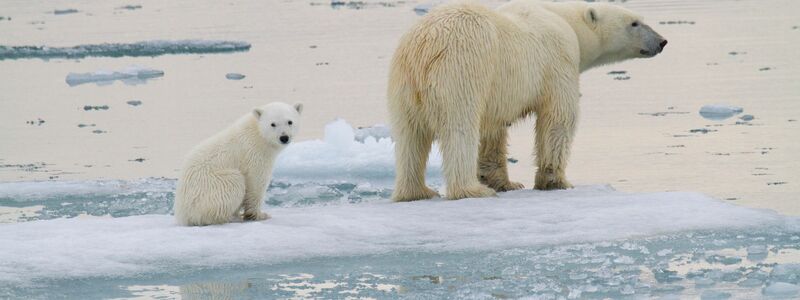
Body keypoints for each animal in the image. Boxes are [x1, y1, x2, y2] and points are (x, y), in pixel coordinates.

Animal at [173, 102, 302, 225]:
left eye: (290, 121)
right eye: (273, 124)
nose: (284, 137)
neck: (258, 134)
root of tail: (182, 215)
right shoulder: (254, 154)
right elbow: (256, 183)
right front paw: (260, 215)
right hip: (211, 187)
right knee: (234, 182)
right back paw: (232, 217)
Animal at [388, 1, 668, 202]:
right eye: (634, 23)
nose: (662, 41)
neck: (566, 21)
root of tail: (424, 47)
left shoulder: (497, 92)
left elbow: (493, 129)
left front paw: (505, 182)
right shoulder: (559, 60)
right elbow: (558, 118)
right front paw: (556, 181)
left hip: (403, 83)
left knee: (409, 136)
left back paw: (416, 192)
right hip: (461, 69)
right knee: (460, 129)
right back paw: (471, 190)